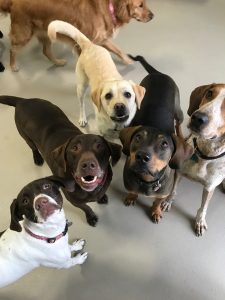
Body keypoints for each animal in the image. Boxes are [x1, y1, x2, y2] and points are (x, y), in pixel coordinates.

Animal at [0, 0, 153, 71]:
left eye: (145, 4)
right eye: (140, 5)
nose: (153, 16)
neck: (111, 7)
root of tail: (13, 2)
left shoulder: (101, 39)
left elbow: (118, 50)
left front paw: (128, 60)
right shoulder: (84, 43)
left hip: (47, 33)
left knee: (46, 51)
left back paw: (58, 62)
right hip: (23, 34)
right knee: (13, 49)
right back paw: (13, 66)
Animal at [0, 96, 121, 225]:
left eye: (99, 146)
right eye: (74, 148)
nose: (88, 164)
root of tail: (23, 100)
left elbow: (101, 193)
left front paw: (102, 197)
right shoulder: (74, 201)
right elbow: (86, 207)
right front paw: (91, 216)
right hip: (25, 136)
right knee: (33, 147)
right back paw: (37, 157)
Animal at [120, 56, 192, 221]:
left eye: (164, 144)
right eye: (138, 137)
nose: (141, 156)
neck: (146, 180)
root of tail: (158, 74)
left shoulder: (163, 193)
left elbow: (158, 201)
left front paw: (156, 211)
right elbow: (132, 191)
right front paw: (132, 197)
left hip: (178, 110)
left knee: (178, 122)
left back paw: (180, 133)